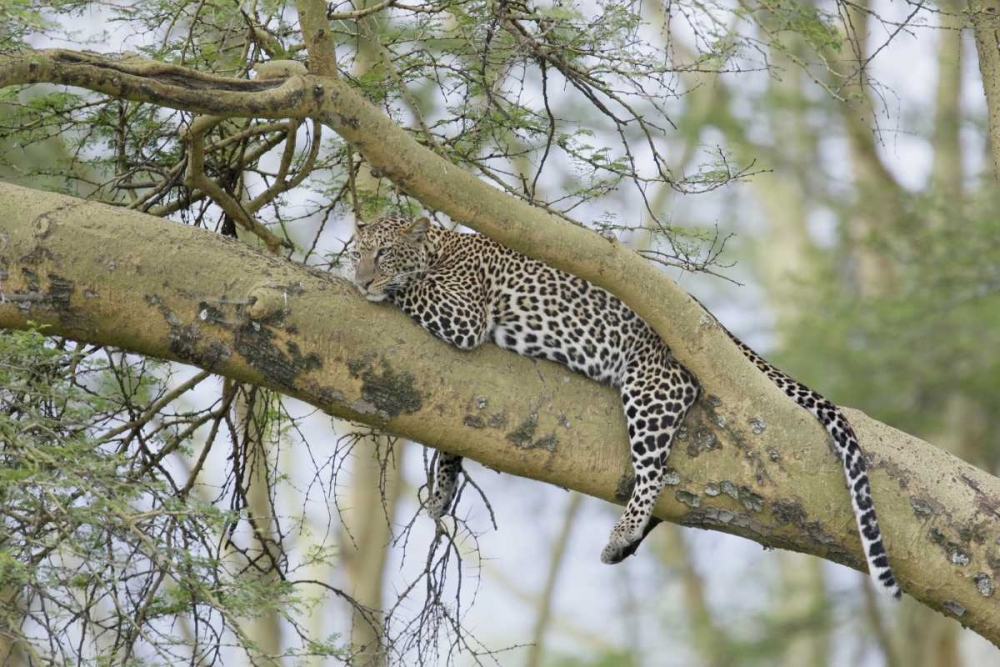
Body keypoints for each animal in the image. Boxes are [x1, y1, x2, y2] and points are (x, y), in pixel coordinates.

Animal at [350, 215, 901, 599]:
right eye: (357, 252)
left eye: (383, 254)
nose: (359, 281)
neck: (440, 245)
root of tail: (713, 326)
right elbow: (451, 439)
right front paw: (443, 490)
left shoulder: (463, 316)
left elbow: (413, 289)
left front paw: (388, 287)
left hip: (651, 389)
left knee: (651, 474)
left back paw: (622, 535)